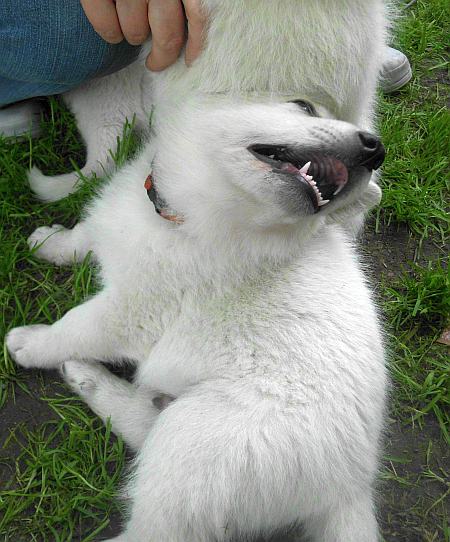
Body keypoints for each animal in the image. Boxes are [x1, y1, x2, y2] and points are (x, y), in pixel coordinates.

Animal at [8, 1, 392, 542]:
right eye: (304, 106)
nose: (375, 146)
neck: (189, 220)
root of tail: (350, 487)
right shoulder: (115, 221)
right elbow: (84, 235)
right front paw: (50, 244)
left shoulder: (129, 313)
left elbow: (72, 327)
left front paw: (32, 342)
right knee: (144, 426)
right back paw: (89, 380)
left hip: (198, 442)